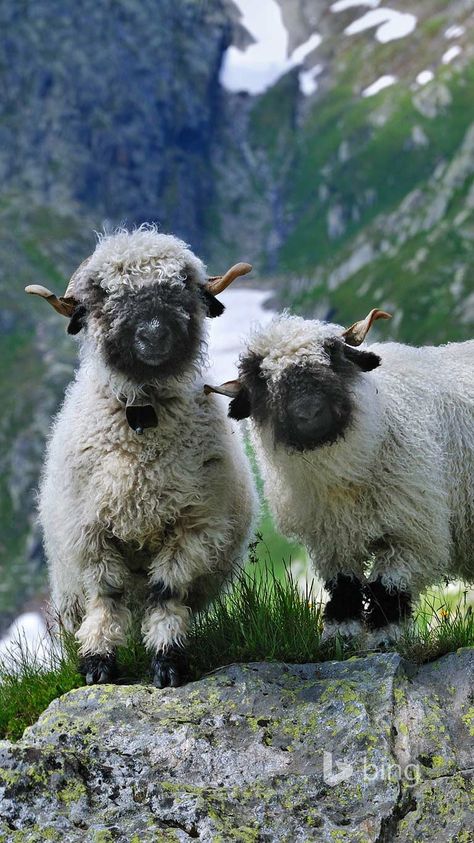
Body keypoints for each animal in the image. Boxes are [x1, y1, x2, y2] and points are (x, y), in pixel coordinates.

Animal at [25, 227, 260, 688]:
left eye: (181, 286)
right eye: (103, 294)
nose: (153, 333)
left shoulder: (193, 527)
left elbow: (165, 593)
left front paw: (167, 660)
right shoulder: (90, 533)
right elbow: (106, 595)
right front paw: (97, 661)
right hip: (66, 587)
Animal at [206, 310, 474, 648]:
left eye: (332, 356)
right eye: (262, 380)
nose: (309, 413)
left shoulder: (414, 531)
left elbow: (388, 587)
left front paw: (385, 639)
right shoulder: (331, 538)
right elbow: (343, 586)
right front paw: (338, 637)